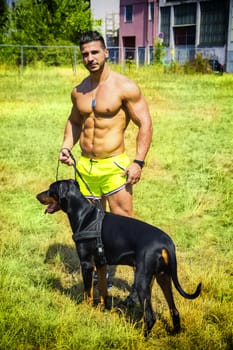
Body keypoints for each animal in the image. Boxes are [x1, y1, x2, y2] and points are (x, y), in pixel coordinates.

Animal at [36, 179, 200, 334]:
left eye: (50, 189)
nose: (37, 196)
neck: (84, 216)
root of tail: (167, 244)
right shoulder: (101, 264)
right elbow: (103, 290)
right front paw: (104, 308)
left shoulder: (86, 264)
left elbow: (87, 293)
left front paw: (85, 311)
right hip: (163, 277)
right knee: (174, 310)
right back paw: (175, 333)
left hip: (142, 280)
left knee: (150, 317)